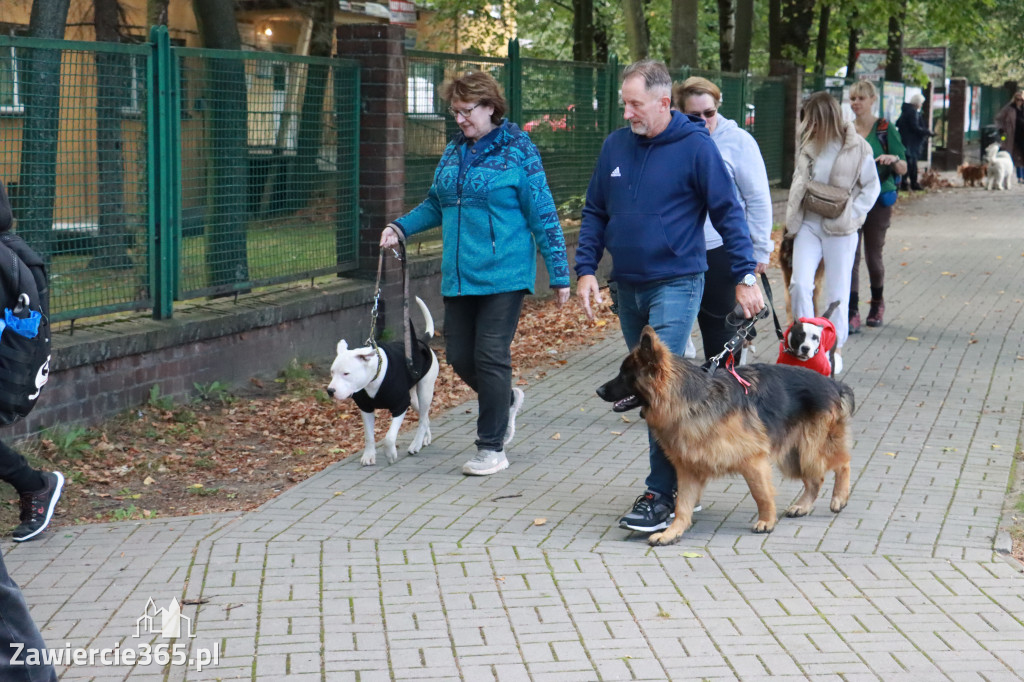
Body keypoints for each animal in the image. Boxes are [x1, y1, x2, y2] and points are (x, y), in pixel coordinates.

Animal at [327, 294, 440, 464]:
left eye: (346, 373)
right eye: (332, 372)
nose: (330, 390)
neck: (374, 377)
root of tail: (421, 342)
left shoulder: (401, 405)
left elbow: (389, 437)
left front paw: (390, 454)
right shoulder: (366, 408)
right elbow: (368, 436)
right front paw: (369, 455)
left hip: (424, 392)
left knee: (422, 419)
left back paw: (416, 444)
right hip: (413, 399)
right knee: (424, 417)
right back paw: (425, 439)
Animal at [598, 327, 851, 544]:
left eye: (625, 375)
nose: (598, 390)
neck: (692, 401)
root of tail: (832, 383)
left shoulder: (754, 460)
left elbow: (761, 493)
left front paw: (767, 521)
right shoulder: (688, 468)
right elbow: (682, 506)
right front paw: (672, 532)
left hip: (811, 448)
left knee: (842, 463)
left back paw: (839, 497)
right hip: (795, 455)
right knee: (816, 479)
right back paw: (803, 506)